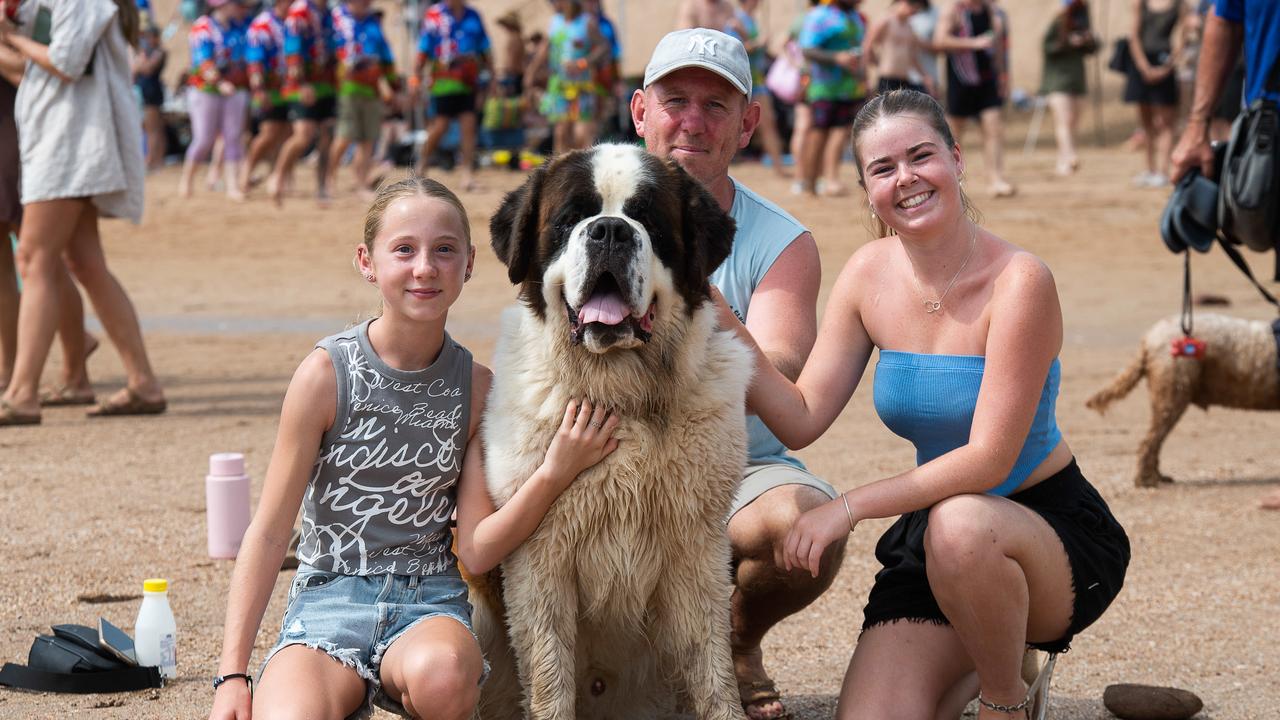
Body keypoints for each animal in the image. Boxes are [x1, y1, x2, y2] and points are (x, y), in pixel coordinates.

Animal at [471, 141, 747, 717]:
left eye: (647, 220)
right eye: (571, 218)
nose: (610, 231)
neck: (621, 397)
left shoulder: (697, 549)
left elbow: (713, 670)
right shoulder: (539, 559)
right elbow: (549, 673)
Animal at [1090, 312, 1280, 484]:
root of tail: (1148, 339)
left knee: (1154, 443)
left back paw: (1157, 476)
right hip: (1172, 396)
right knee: (1149, 442)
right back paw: (1147, 479)